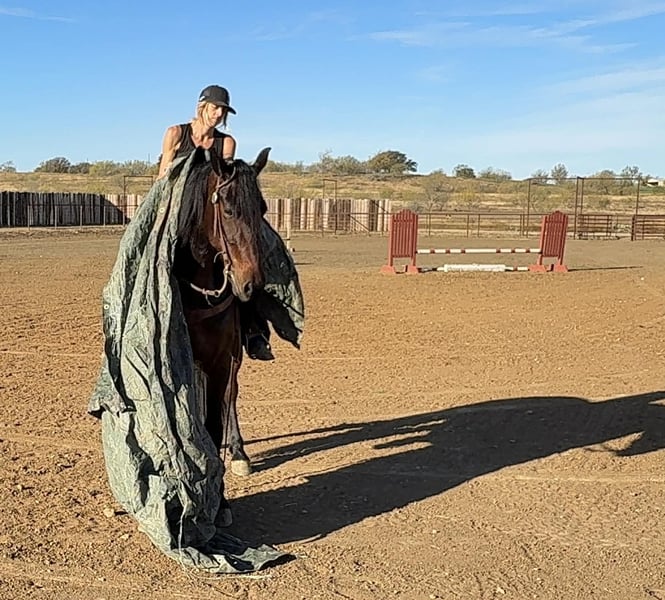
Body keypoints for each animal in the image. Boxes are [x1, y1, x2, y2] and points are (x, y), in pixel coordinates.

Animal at [173, 146, 270, 492]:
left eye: (263, 209)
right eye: (228, 210)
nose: (252, 284)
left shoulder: (222, 360)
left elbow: (217, 417)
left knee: (231, 398)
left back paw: (238, 451)